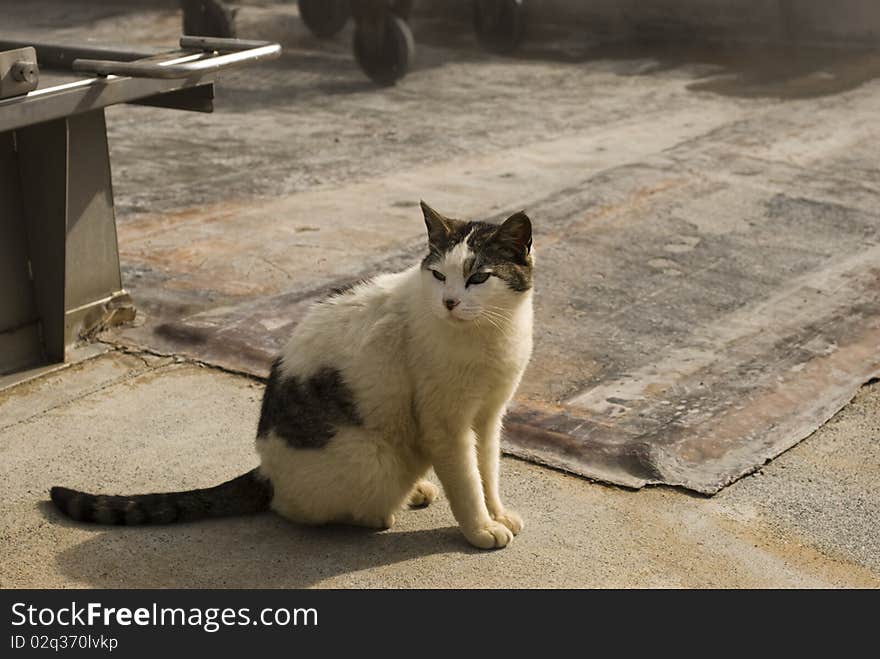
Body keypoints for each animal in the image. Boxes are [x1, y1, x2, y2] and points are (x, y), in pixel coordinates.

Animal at [53, 202, 536, 552]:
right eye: (437, 275)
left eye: (478, 278)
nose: (449, 302)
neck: (488, 334)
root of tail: (267, 471)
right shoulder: (445, 426)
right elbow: (467, 482)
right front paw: (479, 529)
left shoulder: (488, 418)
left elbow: (487, 471)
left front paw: (497, 512)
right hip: (374, 459)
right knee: (307, 509)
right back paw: (383, 511)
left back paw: (415, 489)